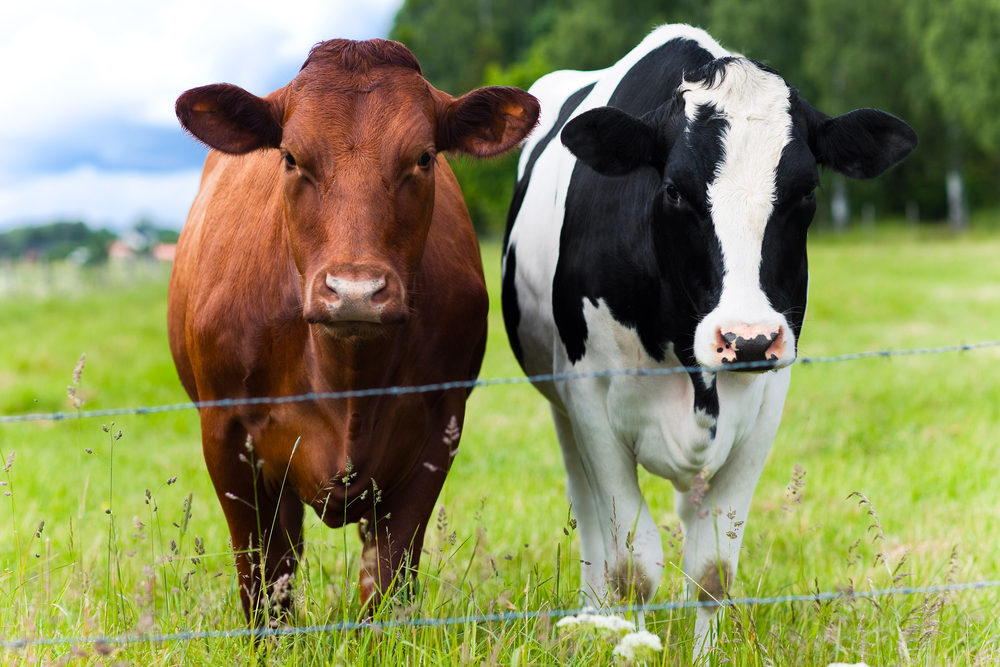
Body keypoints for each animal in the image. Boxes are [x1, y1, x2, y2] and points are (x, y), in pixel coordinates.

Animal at [169, 38, 539, 624]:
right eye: (291, 157)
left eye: (424, 157)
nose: (355, 291)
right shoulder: (225, 433)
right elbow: (260, 575)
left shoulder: (440, 428)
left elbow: (386, 575)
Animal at [502, 24, 916, 650]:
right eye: (674, 190)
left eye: (806, 192)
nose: (747, 340)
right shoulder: (590, 395)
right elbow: (633, 566)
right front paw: (628, 645)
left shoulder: (765, 405)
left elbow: (713, 568)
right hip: (562, 405)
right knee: (588, 509)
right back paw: (592, 615)